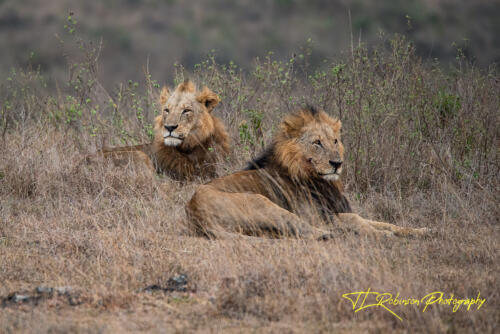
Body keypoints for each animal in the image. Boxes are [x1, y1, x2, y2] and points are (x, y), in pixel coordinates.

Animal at [188, 107, 430, 240]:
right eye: (317, 143)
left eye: (335, 141)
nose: (337, 163)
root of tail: (194, 210)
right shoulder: (317, 216)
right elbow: (356, 219)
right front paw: (382, 235)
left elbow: (382, 222)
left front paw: (421, 230)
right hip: (262, 202)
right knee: (301, 227)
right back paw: (328, 235)